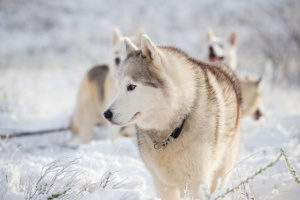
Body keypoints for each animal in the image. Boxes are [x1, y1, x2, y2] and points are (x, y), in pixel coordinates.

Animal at [104, 35, 243, 199]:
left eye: (131, 86)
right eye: (118, 88)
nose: (106, 114)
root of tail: (223, 68)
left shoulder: (195, 183)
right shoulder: (163, 184)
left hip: (221, 170)